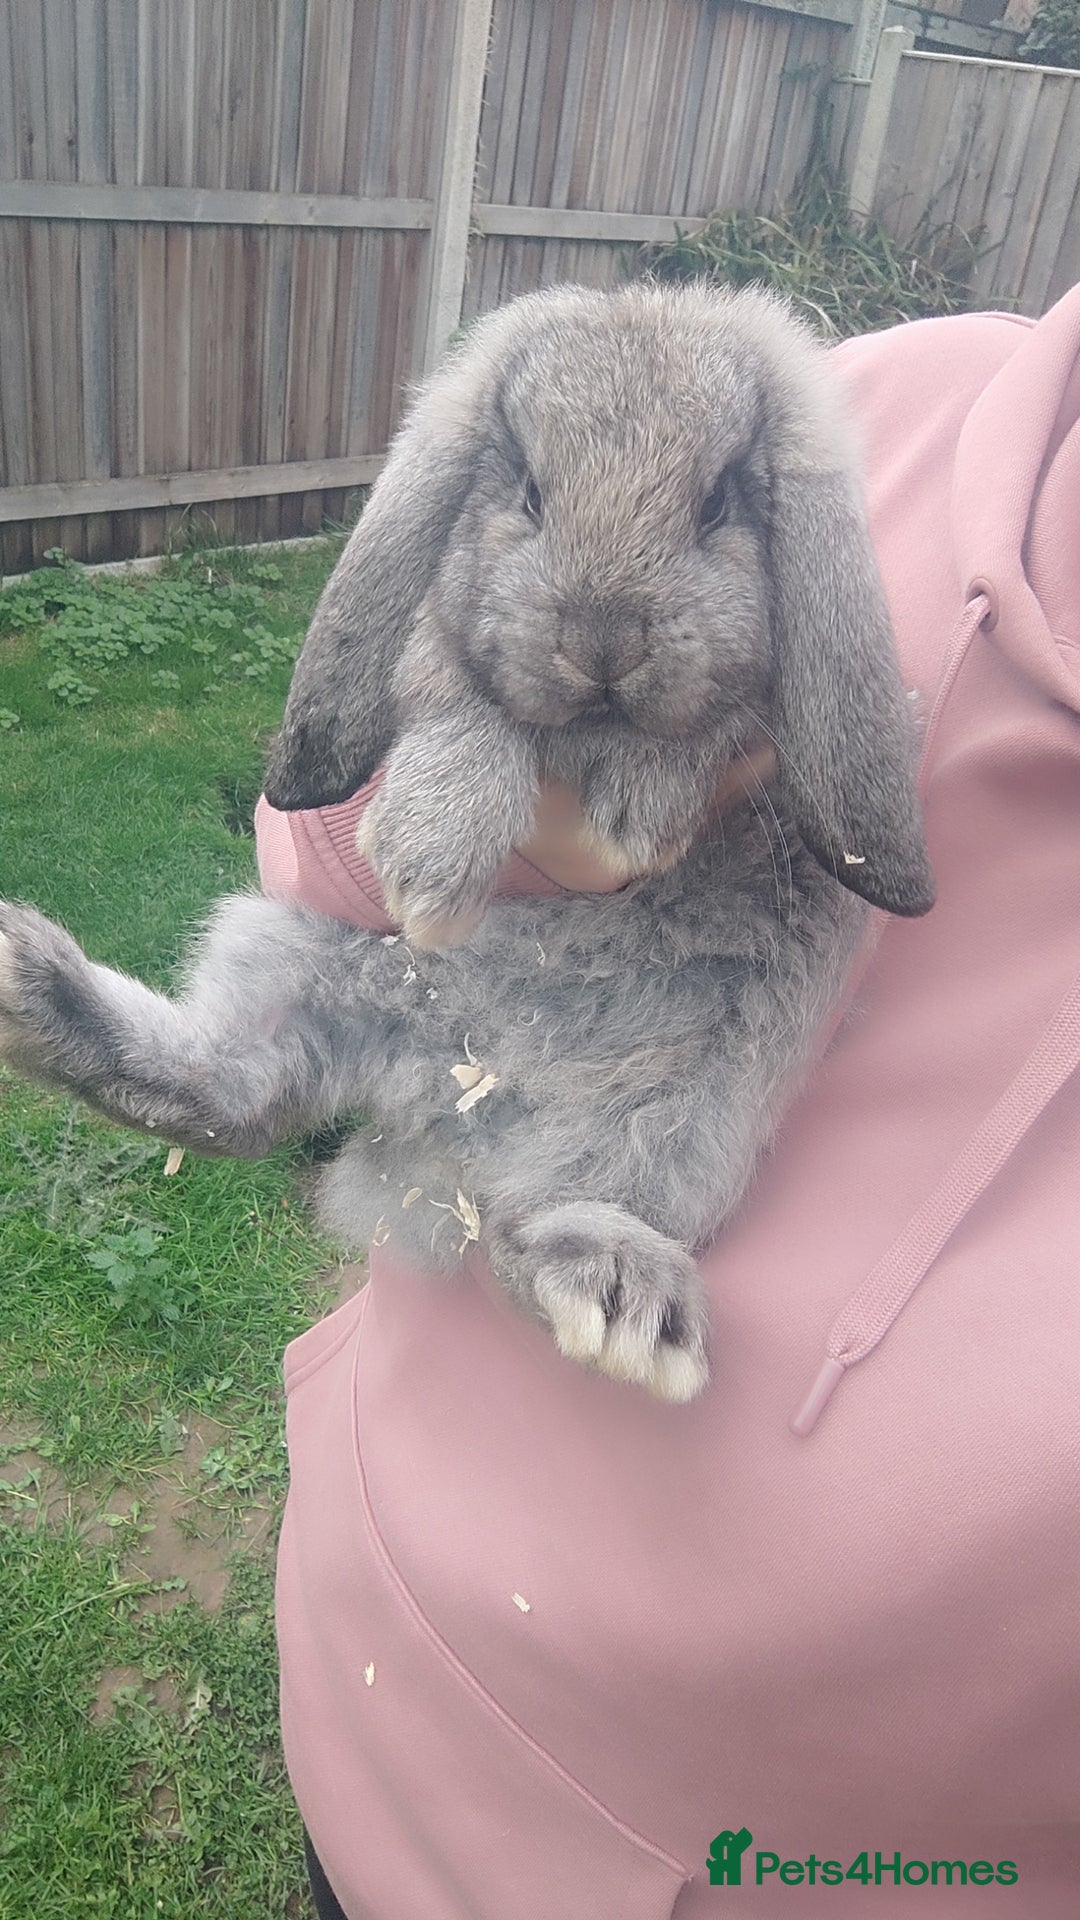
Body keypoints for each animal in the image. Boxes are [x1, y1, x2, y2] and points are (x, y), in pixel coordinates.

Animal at [0, 282, 934, 1404]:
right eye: (528, 490)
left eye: (717, 504)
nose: (602, 640)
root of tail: (450, 1112)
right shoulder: (438, 659)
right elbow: (453, 693)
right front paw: (432, 851)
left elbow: (707, 727)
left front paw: (642, 800)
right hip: (304, 954)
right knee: (233, 1092)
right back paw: (28, 981)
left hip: (692, 1106)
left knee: (531, 1227)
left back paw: (623, 1303)